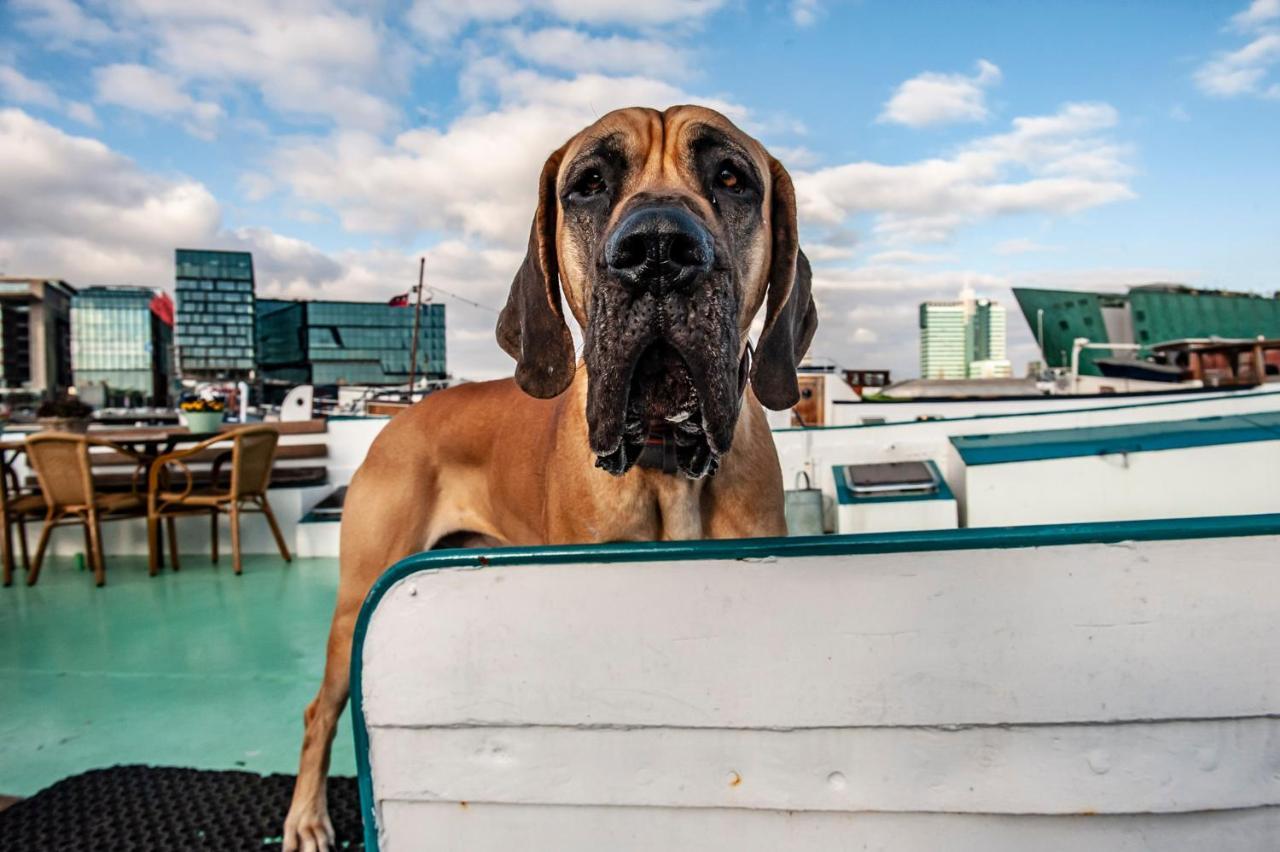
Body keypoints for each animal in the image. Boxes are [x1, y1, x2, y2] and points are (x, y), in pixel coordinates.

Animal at [284, 106, 814, 849]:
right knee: (320, 711)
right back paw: (305, 817)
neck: (665, 461)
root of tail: (398, 418)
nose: (658, 250)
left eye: (733, 178)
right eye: (588, 185)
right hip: (356, 600)